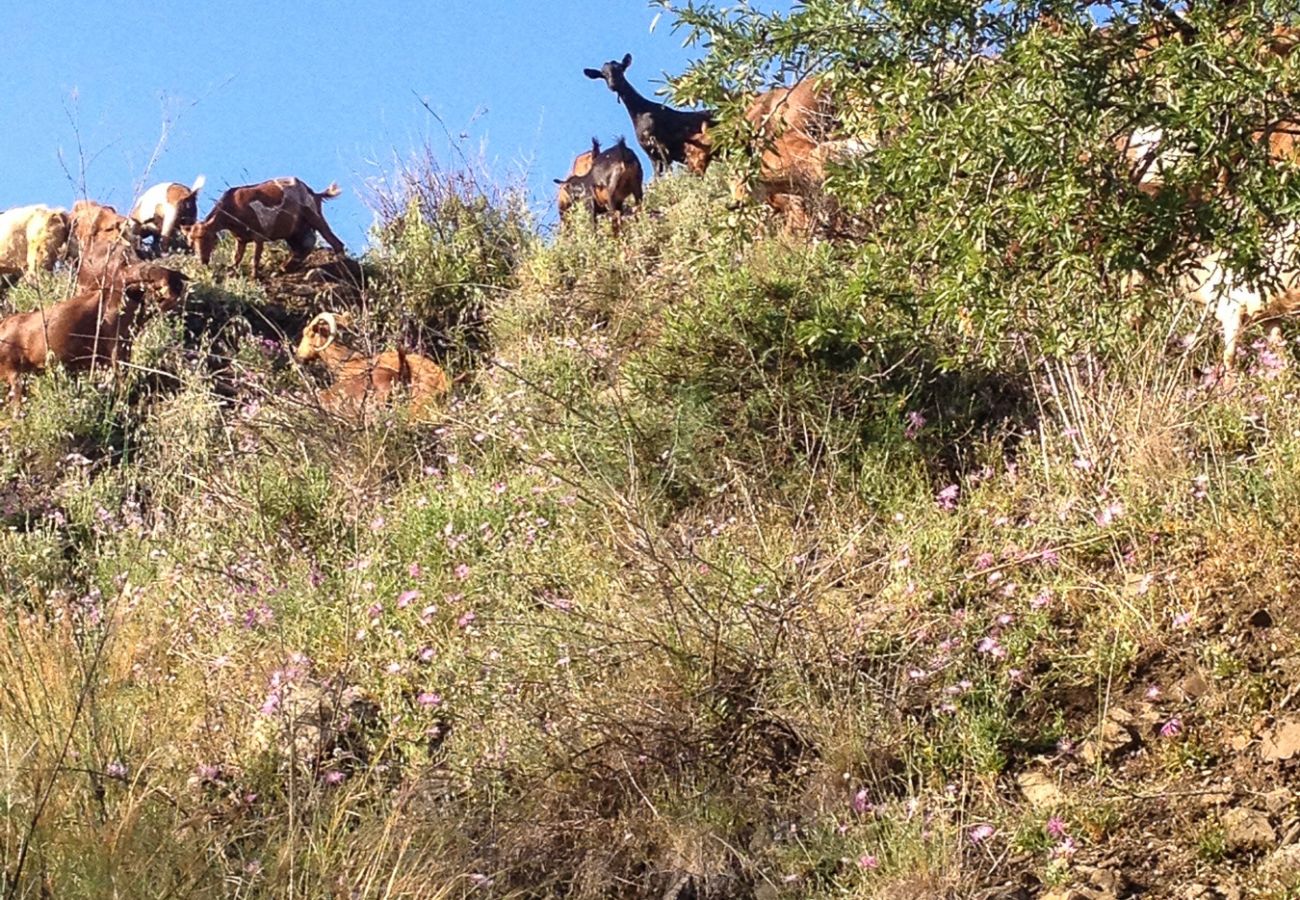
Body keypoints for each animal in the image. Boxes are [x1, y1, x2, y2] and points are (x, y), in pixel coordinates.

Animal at [185, 178, 345, 279]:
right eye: (191, 241)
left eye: (209, 238)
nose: (203, 260)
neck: (232, 208)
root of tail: (314, 193)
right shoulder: (240, 239)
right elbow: (237, 257)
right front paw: (233, 271)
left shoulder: (259, 235)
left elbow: (255, 258)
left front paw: (254, 276)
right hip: (295, 230)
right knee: (304, 246)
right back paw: (283, 269)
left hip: (313, 214)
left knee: (332, 239)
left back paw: (341, 263)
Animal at [587, 55, 717, 178]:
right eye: (603, 74)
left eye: (620, 69)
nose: (613, 85)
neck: (640, 113)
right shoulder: (651, 153)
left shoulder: (662, 147)